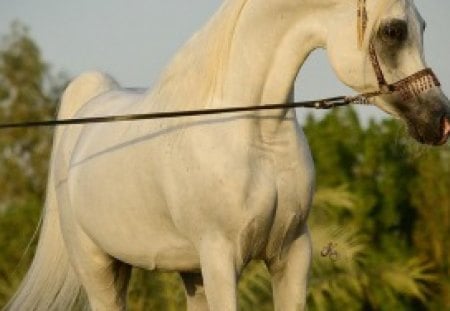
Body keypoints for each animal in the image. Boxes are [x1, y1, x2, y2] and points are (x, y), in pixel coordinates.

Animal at [4, 0, 450, 310]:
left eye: (424, 26)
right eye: (394, 30)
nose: (440, 121)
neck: (255, 137)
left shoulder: (291, 254)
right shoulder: (221, 259)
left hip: (188, 273)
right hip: (99, 269)